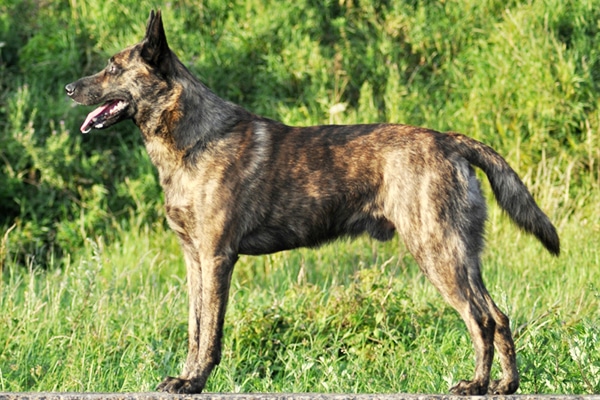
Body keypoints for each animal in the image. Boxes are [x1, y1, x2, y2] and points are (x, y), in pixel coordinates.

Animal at [65, 10, 556, 396]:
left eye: (113, 68)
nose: (70, 88)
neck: (193, 139)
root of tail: (450, 141)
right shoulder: (193, 259)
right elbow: (194, 328)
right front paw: (185, 379)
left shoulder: (217, 257)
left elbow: (211, 334)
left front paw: (197, 381)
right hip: (460, 256)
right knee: (500, 316)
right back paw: (505, 385)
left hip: (438, 254)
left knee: (481, 319)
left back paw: (475, 385)